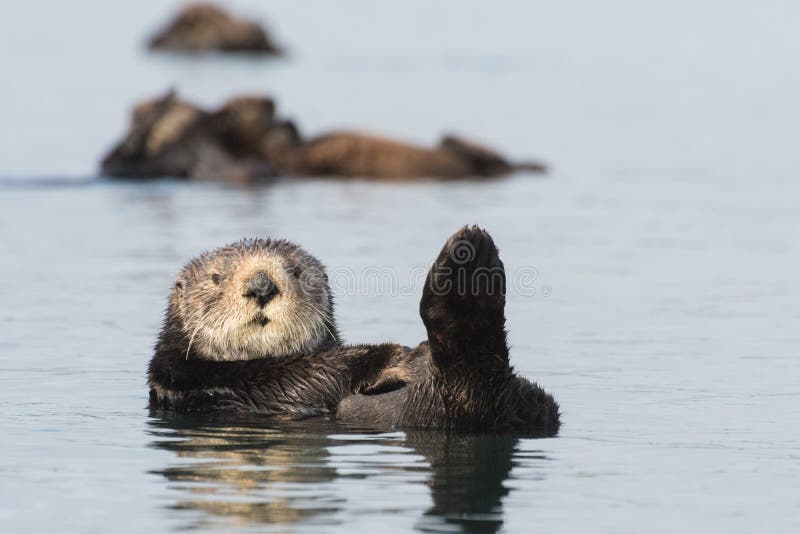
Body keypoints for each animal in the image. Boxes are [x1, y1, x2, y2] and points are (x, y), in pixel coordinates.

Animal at [148, 227, 564, 436]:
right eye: (217, 278)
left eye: (294, 271)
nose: (262, 286)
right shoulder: (209, 379)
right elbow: (317, 373)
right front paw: (396, 356)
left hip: (533, 401)